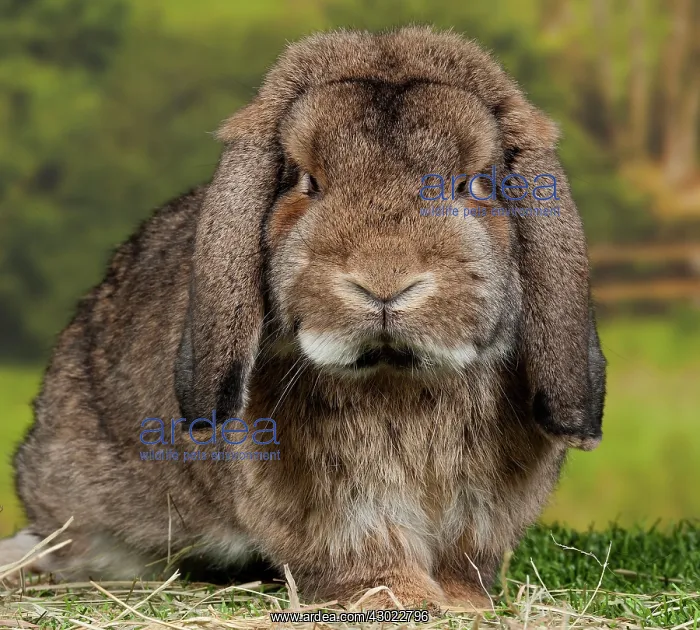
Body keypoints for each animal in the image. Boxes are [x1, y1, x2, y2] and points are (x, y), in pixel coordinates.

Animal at [0, 26, 606, 611]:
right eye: (303, 181)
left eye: (475, 183)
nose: (384, 279)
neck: (397, 378)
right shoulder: (332, 504)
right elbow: (364, 548)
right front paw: (399, 597)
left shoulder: (483, 507)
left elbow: (465, 555)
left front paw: (464, 604)